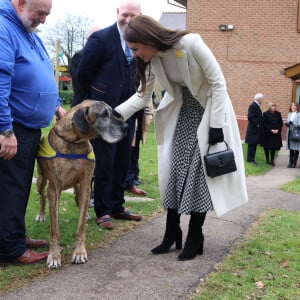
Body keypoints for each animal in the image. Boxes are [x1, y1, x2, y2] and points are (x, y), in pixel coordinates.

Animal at [35, 99, 127, 268]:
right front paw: (54, 255)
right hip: (41, 180)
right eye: (104, 114)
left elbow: (81, 225)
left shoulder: (85, 184)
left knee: (78, 200)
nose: (126, 127)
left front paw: (79, 252)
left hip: (79, 186)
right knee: (42, 196)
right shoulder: (55, 189)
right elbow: (54, 229)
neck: (74, 141)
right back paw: (41, 214)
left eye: (112, 112)